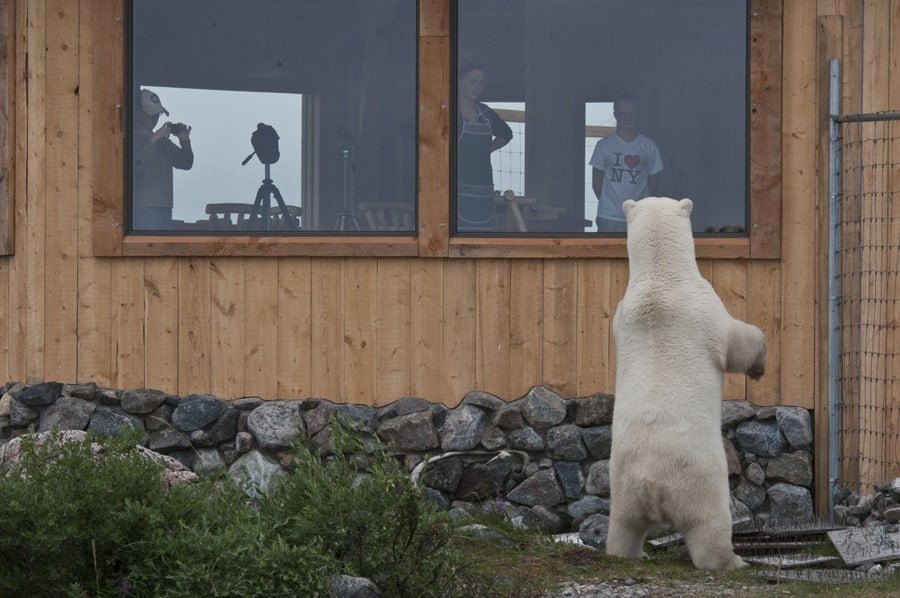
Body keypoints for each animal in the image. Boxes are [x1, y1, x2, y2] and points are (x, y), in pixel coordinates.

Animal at [604, 197, 768, 572]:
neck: (659, 277)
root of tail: (654, 485)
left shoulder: (620, 316)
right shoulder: (705, 306)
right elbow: (739, 342)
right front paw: (759, 365)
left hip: (623, 482)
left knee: (623, 524)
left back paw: (627, 552)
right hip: (699, 478)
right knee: (710, 525)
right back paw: (733, 561)